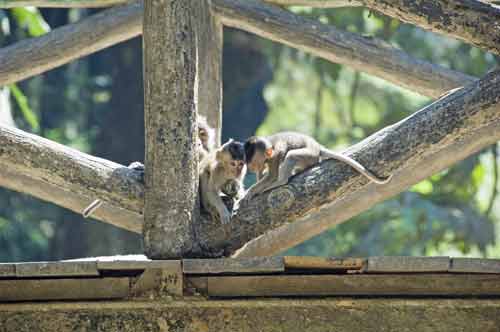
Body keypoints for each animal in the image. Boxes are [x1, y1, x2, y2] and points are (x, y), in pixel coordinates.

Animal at [244, 132, 392, 200]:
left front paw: (251, 191)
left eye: (252, 163)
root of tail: (318, 146)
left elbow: (272, 176)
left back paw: (281, 181)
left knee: (291, 156)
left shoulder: (275, 155)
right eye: (249, 163)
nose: (250, 168)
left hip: (310, 154)